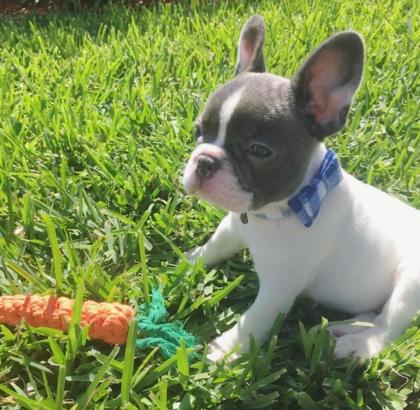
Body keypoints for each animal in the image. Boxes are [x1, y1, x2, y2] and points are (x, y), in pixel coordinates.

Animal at [182, 15, 418, 362]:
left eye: (259, 150)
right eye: (199, 131)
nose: (204, 161)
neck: (280, 209)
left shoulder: (279, 287)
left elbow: (253, 320)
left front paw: (224, 351)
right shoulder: (233, 227)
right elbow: (214, 246)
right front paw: (188, 260)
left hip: (411, 282)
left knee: (390, 327)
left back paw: (358, 344)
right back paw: (348, 327)